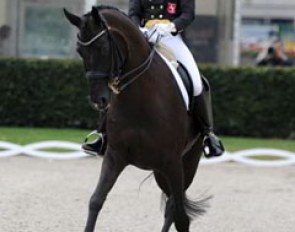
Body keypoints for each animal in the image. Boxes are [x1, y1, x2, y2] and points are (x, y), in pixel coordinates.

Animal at [64, 5, 210, 232]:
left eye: (103, 48)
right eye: (80, 51)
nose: (99, 101)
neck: (141, 98)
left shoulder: (173, 162)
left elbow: (182, 218)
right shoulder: (115, 156)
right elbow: (96, 200)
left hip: (187, 163)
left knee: (174, 208)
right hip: (161, 172)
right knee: (170, 205)